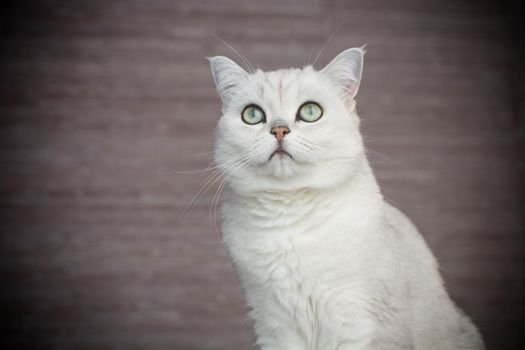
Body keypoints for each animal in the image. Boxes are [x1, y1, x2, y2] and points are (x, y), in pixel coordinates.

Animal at [208, 47, 484, 350]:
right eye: (253, 114)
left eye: (310, 111)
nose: (279, 130)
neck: (289, 218)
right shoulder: (273, 324)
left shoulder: (361, 322)